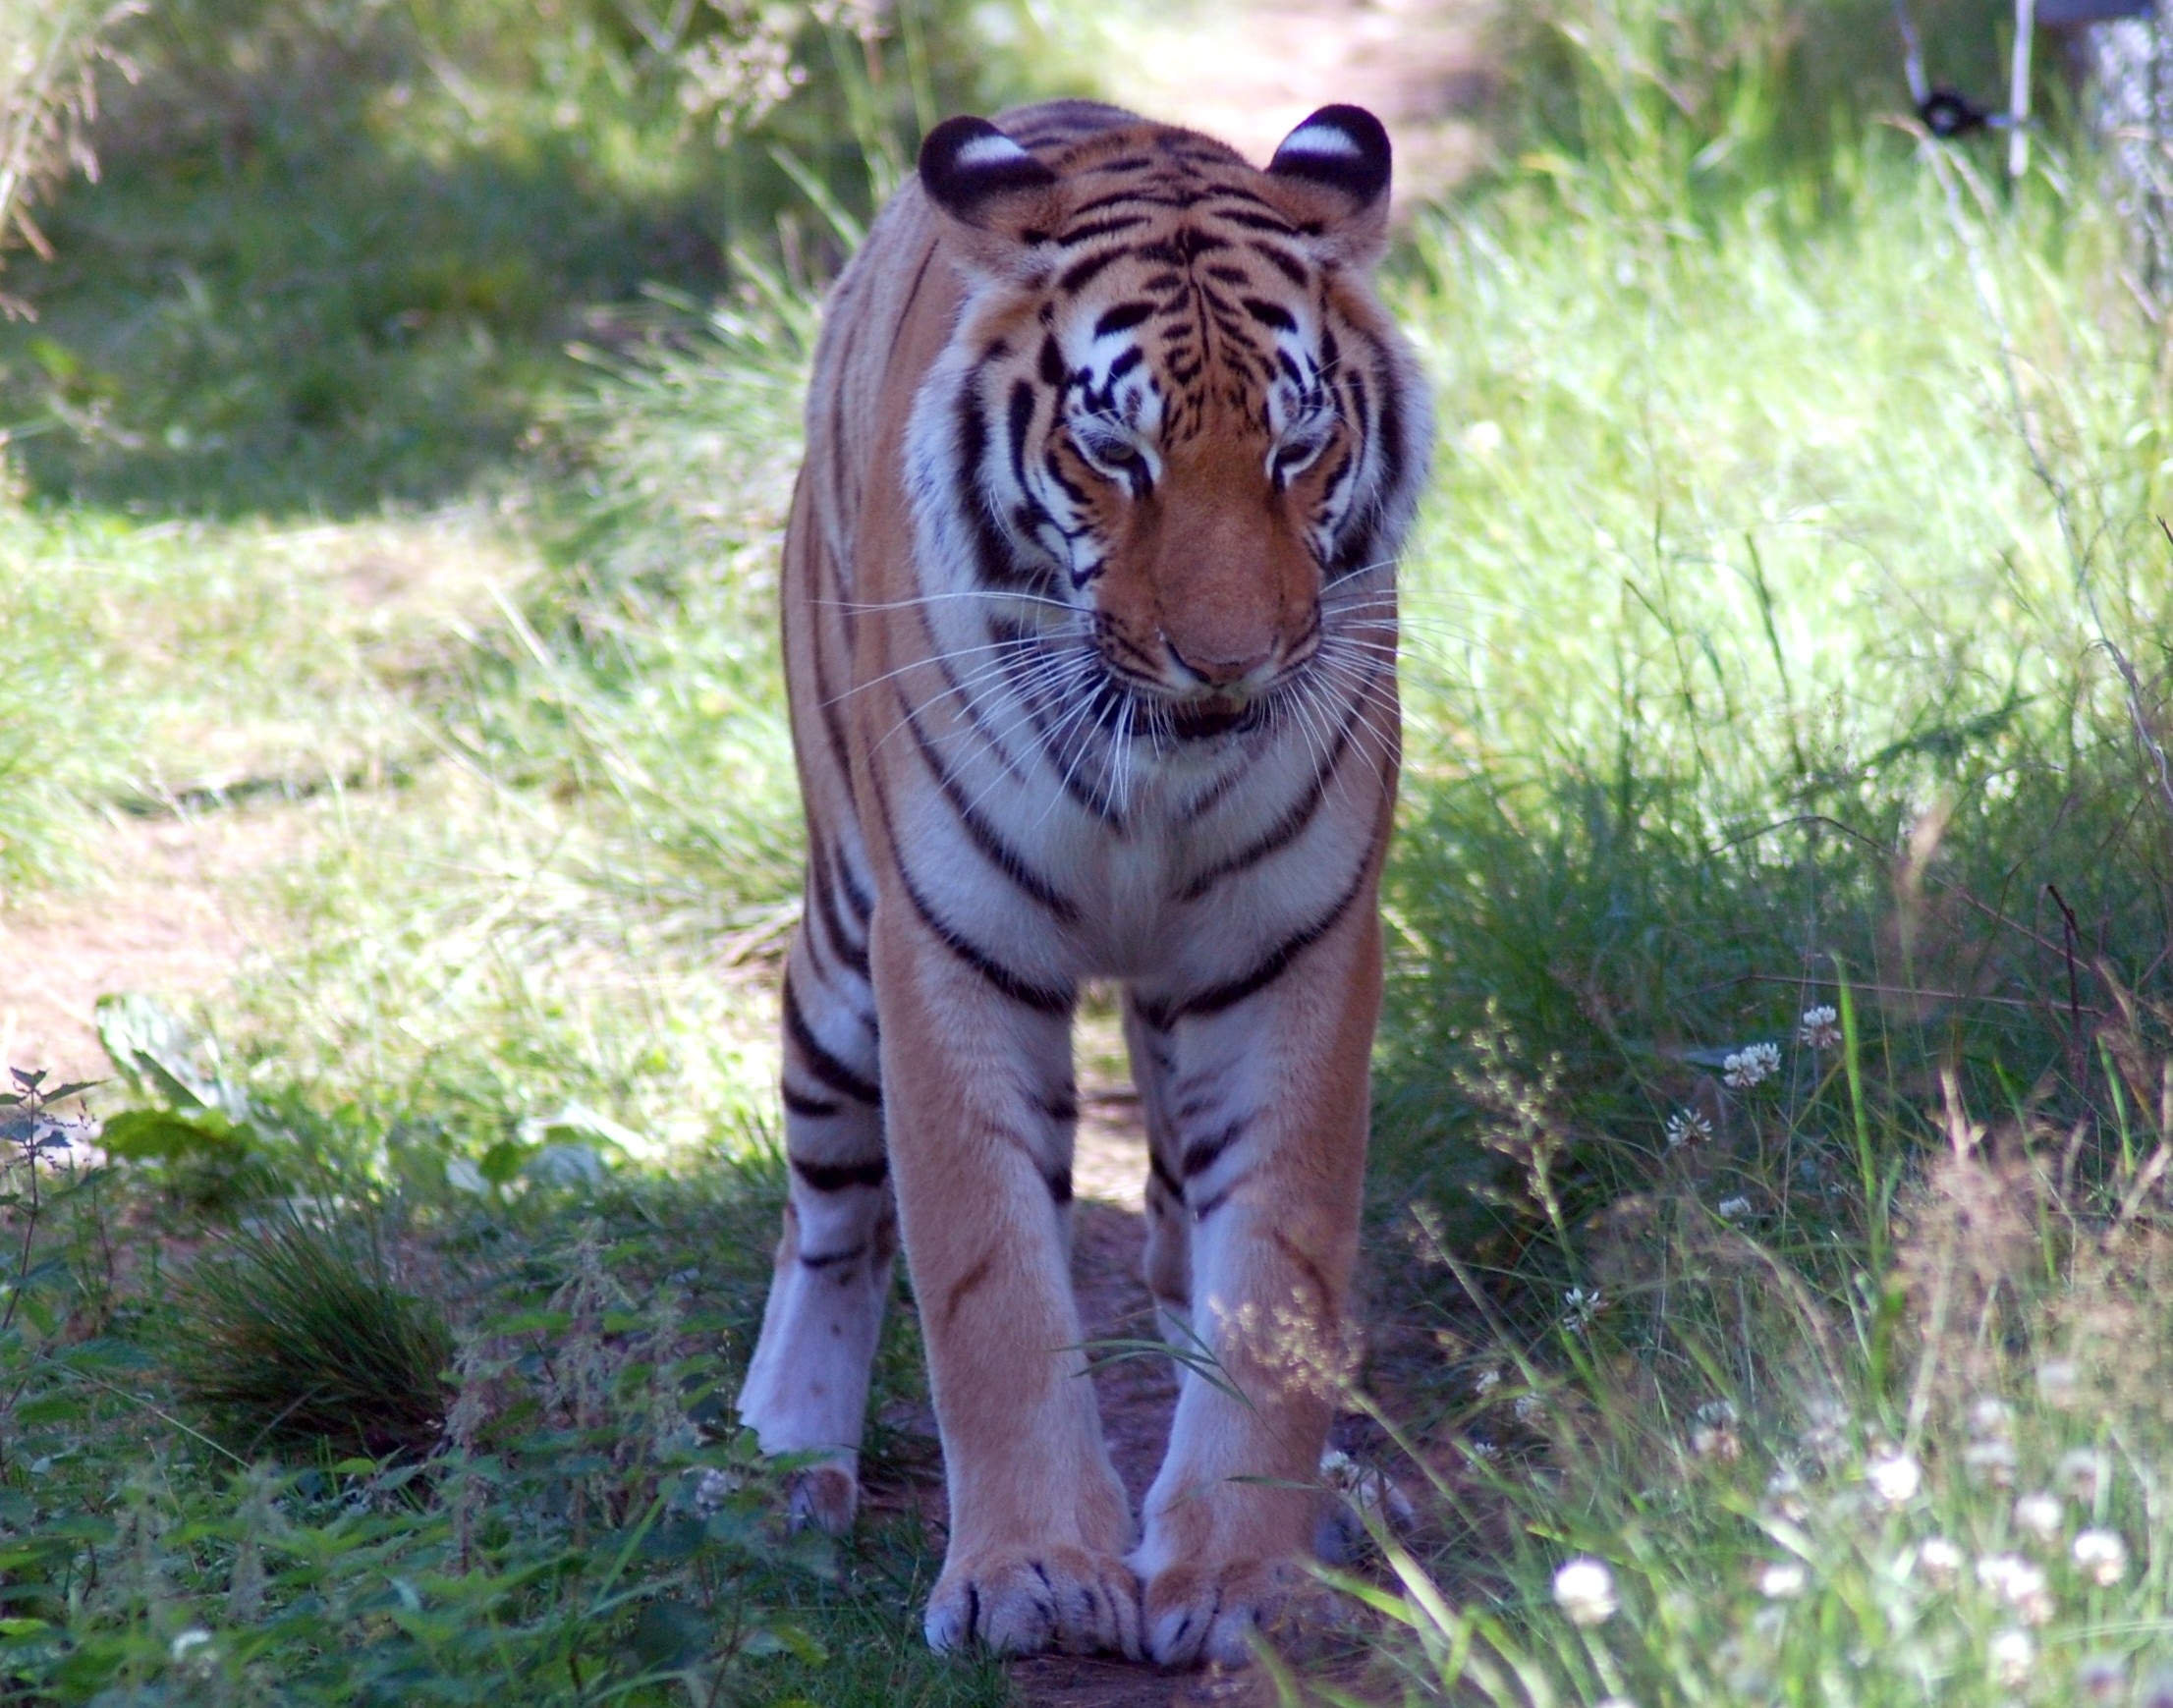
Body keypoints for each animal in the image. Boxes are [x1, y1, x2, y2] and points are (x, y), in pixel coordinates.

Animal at [734, 97, 1431, 1667]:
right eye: (1118, 451)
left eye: (1300, 445)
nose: (1229, 662)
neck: (1154, 768)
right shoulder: (951, 948)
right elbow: (986, 1280)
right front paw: (1035, 1575)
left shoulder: (1291, 947)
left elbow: (1273, 1271)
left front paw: (1240, 1573)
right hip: (840, 959)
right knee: (829, 1218)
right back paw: (778, 1459)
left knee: (1175, 1227)